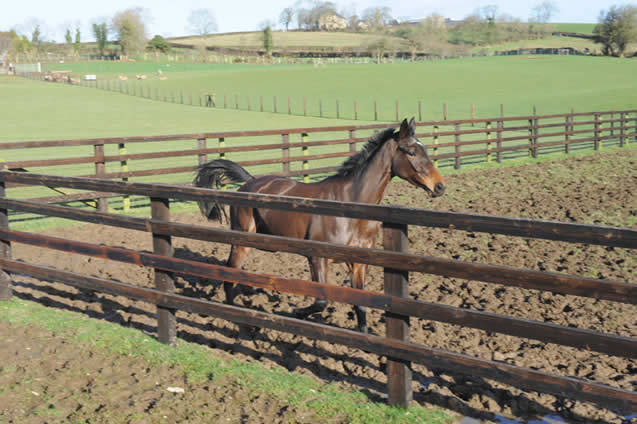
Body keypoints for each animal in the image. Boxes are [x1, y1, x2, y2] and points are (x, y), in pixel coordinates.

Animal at [196, 117, 444, 332]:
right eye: (411, 151)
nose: (440, 186)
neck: (350, 205)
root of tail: (250, 182)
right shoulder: (317, 257)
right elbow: (321, 301)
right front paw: (295, 312)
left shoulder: (358, 262)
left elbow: (360, 303)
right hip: (241, 242)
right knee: (229, 275)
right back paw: (237, 320)